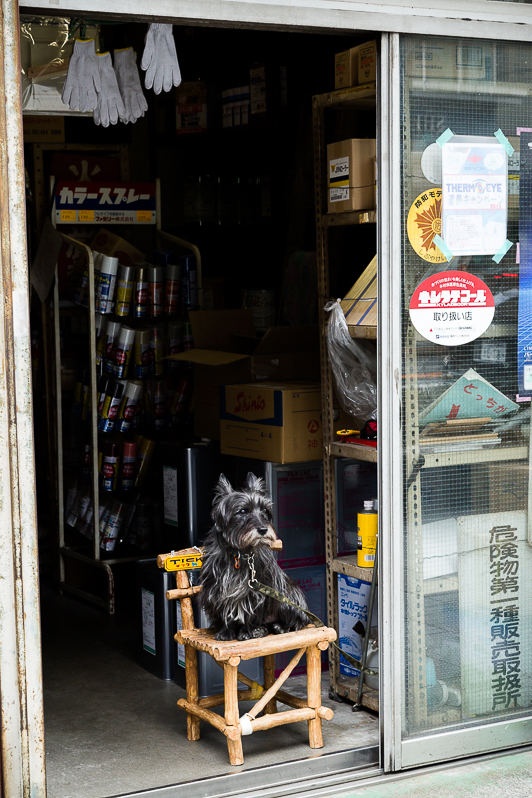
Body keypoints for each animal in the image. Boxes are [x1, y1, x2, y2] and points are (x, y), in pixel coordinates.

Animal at [200, 476, 310, 644]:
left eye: (265, 510)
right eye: (243, 511)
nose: (263, 530)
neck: (240, 553)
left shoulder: (256, 592)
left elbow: (251, 613)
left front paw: (247, 631)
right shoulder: (218, 589)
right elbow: (226, 611)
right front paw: (226, 631)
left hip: (287, 596)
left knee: (296, 621)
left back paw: (276, 628)